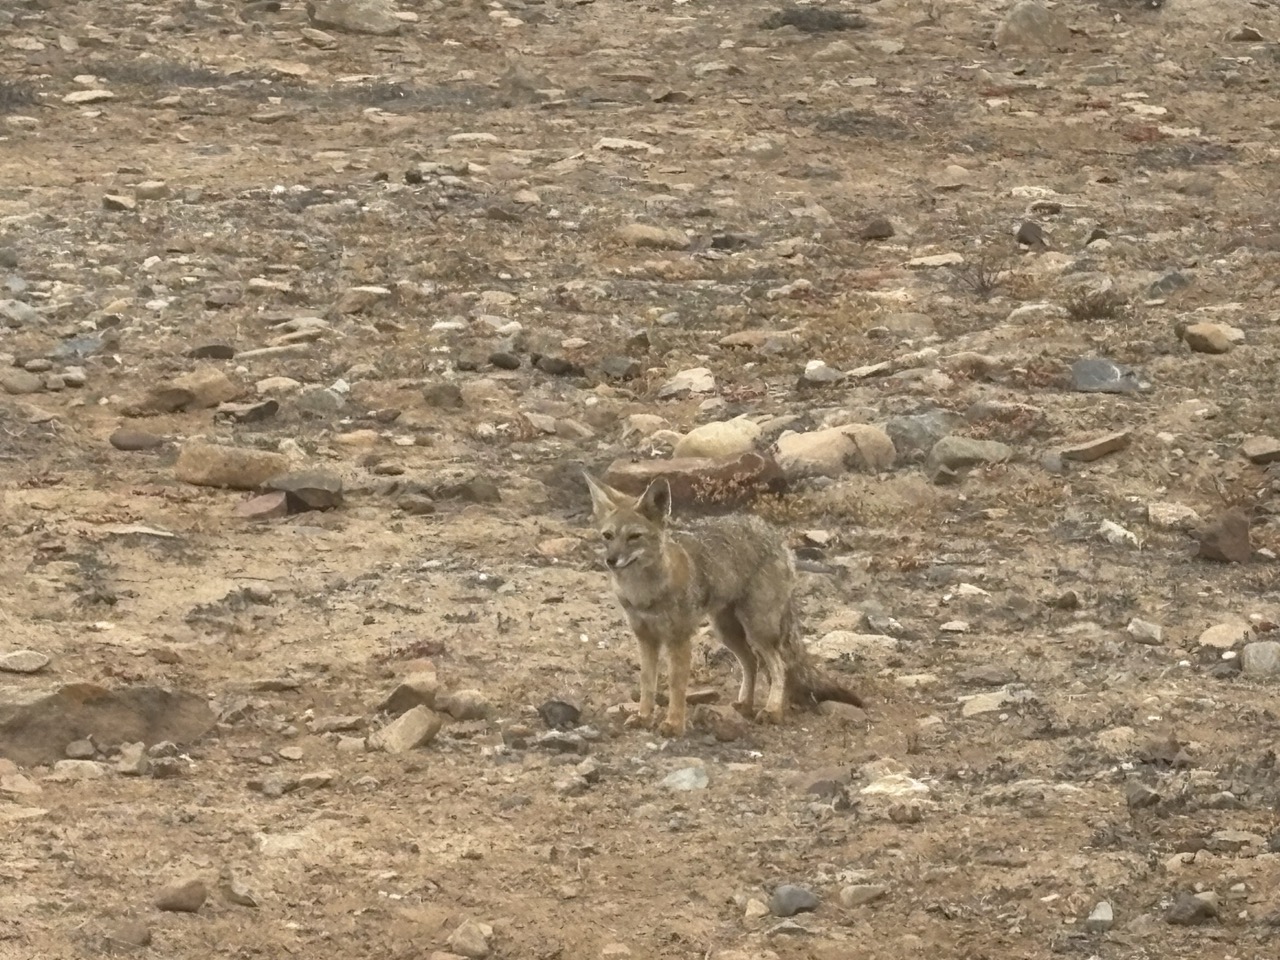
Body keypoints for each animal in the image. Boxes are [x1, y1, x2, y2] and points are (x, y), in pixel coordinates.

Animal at [583, 472, 864, 737]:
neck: (644, 593)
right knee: (752, 662)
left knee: (779, 666)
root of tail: (776, 536)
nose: (611, 560)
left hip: (757, 629)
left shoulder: (679, 638)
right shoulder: (645, 637)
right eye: (608, 536)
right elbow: (647, 681)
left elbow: (676, 684)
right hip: (726, 632)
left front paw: (674, 724)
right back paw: (745, 705)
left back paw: (772, 710)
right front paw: (644, 717)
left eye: (634, 537)